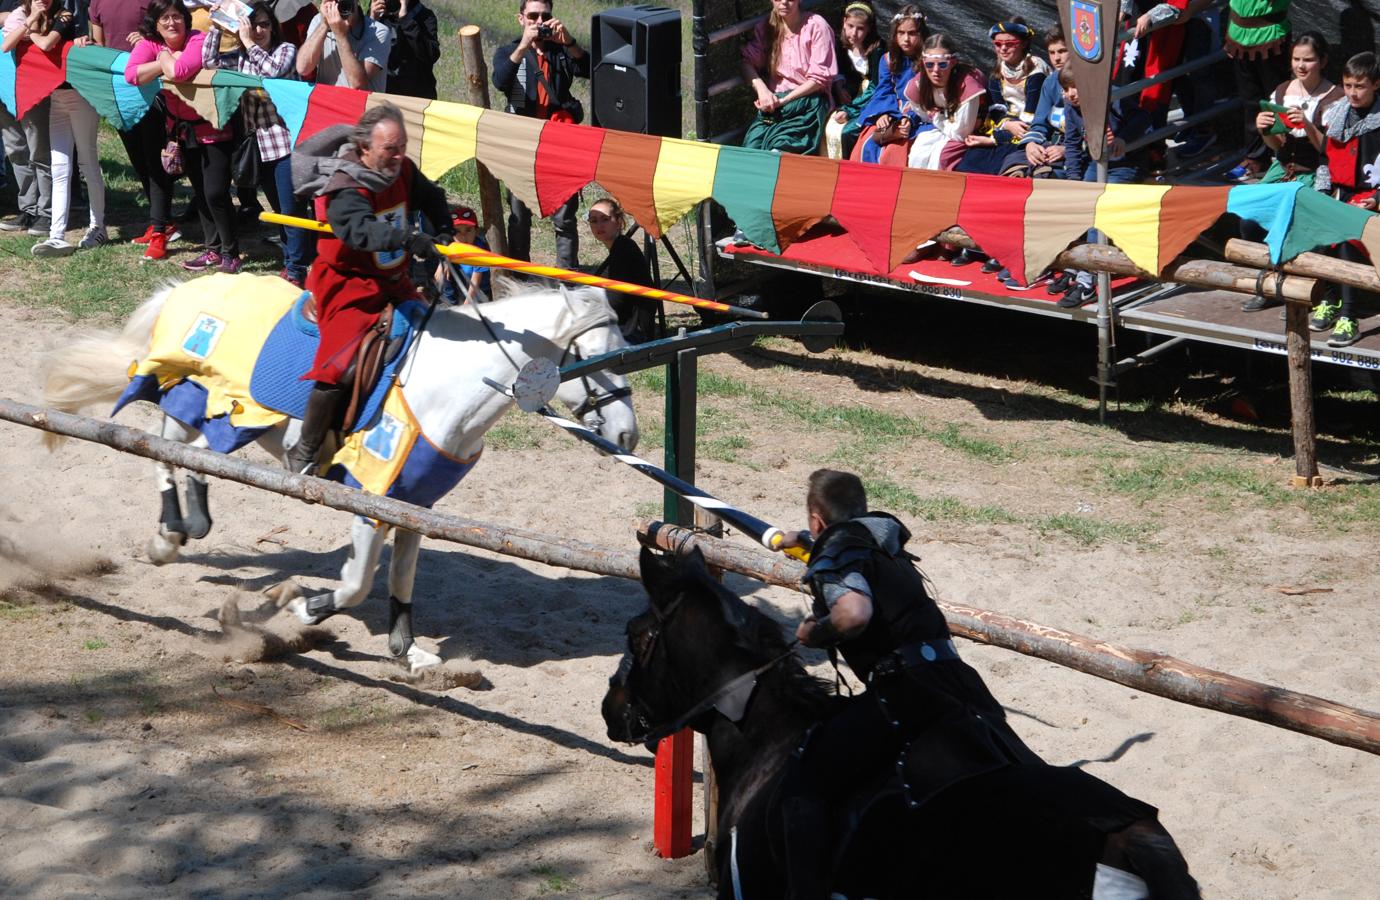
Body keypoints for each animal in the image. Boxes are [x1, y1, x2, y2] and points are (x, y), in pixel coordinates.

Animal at [41, 277, 634, 670]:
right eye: (593, 361)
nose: (628, 436)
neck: (445, 388)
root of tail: (188, 285)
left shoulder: (416, 505)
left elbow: (401, 578)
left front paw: (407, 651)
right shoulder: (371, 502)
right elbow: (355, 584)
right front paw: (301, 606)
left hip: (223, 409)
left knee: (196, 455)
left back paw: (195, 520)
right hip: (191, 392)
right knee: (165, 448)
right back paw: (169, 535)